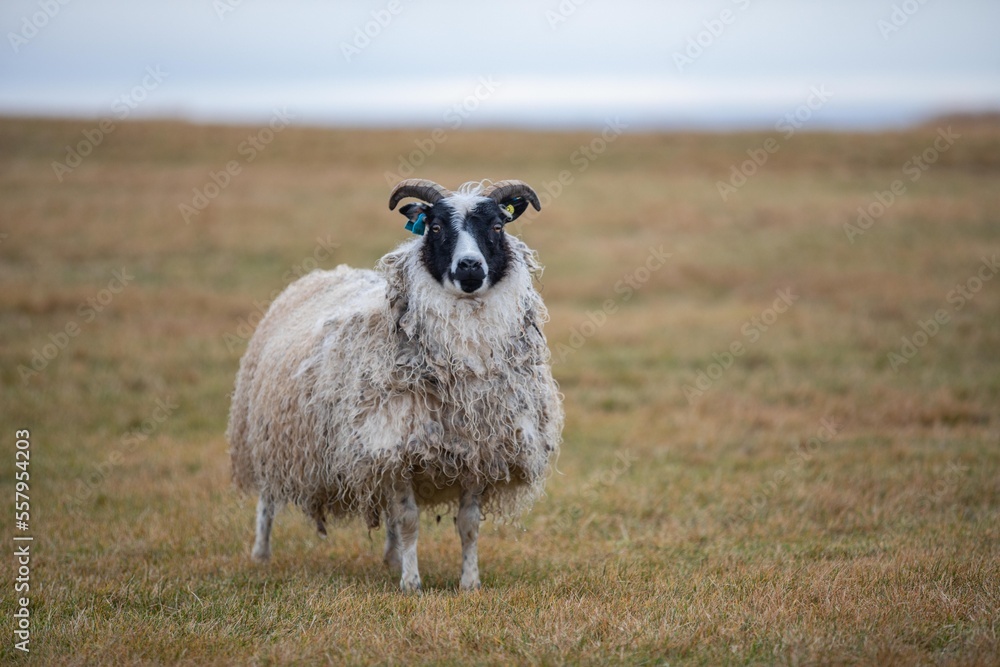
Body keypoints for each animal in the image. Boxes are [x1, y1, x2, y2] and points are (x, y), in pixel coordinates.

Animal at [229, 179, 568, 596]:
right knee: (268, 498)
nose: (470, 266)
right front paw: (411, 584)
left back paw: (391, 558)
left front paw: (469, 583)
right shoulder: (393, 443)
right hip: (272, 434)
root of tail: (324, 273)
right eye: (435, 228)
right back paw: (261, 554)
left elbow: (468, 525)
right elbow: (409, 521)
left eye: (497, 227)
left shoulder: (477, 449)